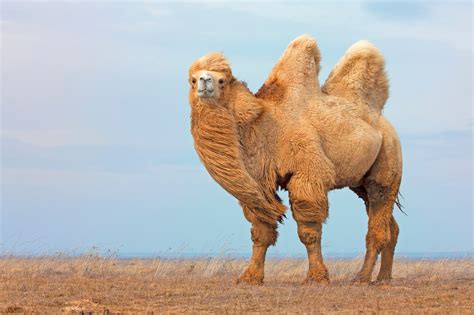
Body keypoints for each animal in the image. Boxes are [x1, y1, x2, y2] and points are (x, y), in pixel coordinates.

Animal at [187, 35, 402, 286]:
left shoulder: (307, 173)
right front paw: (250, 277)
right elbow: (261, 231)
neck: (263, 125)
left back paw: (362, 277)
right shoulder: (261, 183)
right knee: (390, 225)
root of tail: (384, 124)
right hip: (360, 182)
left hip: (388, 160)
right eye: (192, 80)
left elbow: (308, 231)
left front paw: (317, 277)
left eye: (222, 81)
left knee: (377, 220)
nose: (204, 82)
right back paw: (383, 277)